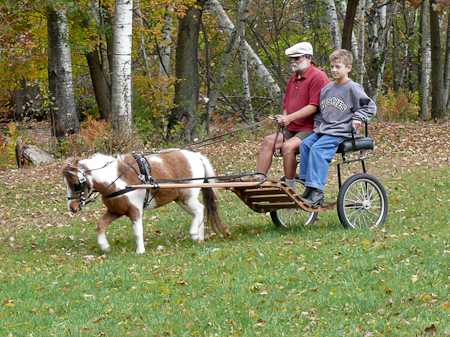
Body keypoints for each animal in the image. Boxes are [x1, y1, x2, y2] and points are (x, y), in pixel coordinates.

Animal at [61, 150, 227, 252]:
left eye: (75, 184)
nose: (71, 207)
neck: (116, 179)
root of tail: (196, 155)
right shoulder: (115, 210)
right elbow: (100, 225)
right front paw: (105, 246)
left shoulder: (135, 209)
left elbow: (137, 231)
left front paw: (140, 250)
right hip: (180, 199)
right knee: (199, 211)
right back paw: (199, 236)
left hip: (188, 196)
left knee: (198, 210)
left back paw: (194, 234)